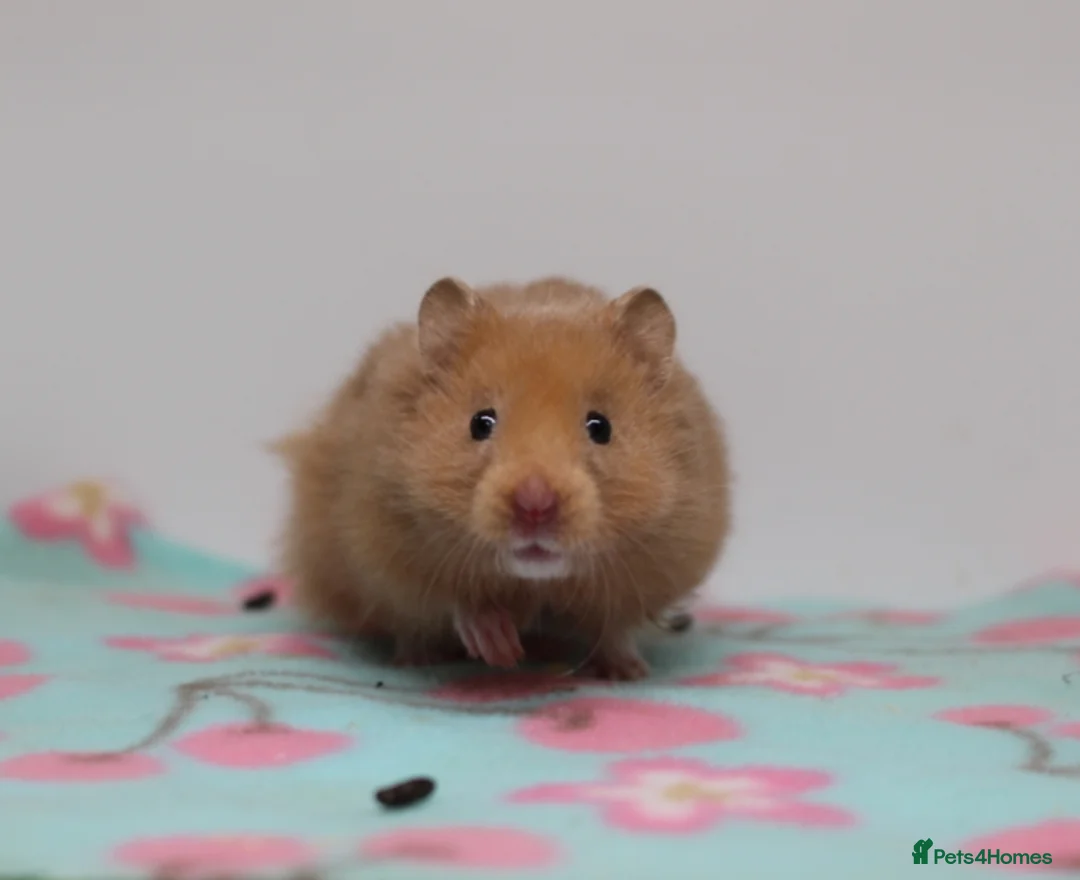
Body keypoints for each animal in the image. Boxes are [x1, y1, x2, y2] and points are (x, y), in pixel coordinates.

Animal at [274, 276, 731, 680]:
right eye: (480, 423)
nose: (535, 504)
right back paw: (418, 660)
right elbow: (455, 602)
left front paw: (629, 672)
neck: (533, 584)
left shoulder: (661, 561)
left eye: (601, 427)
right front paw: (502, 651)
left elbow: (616, 626)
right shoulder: (388, 549)